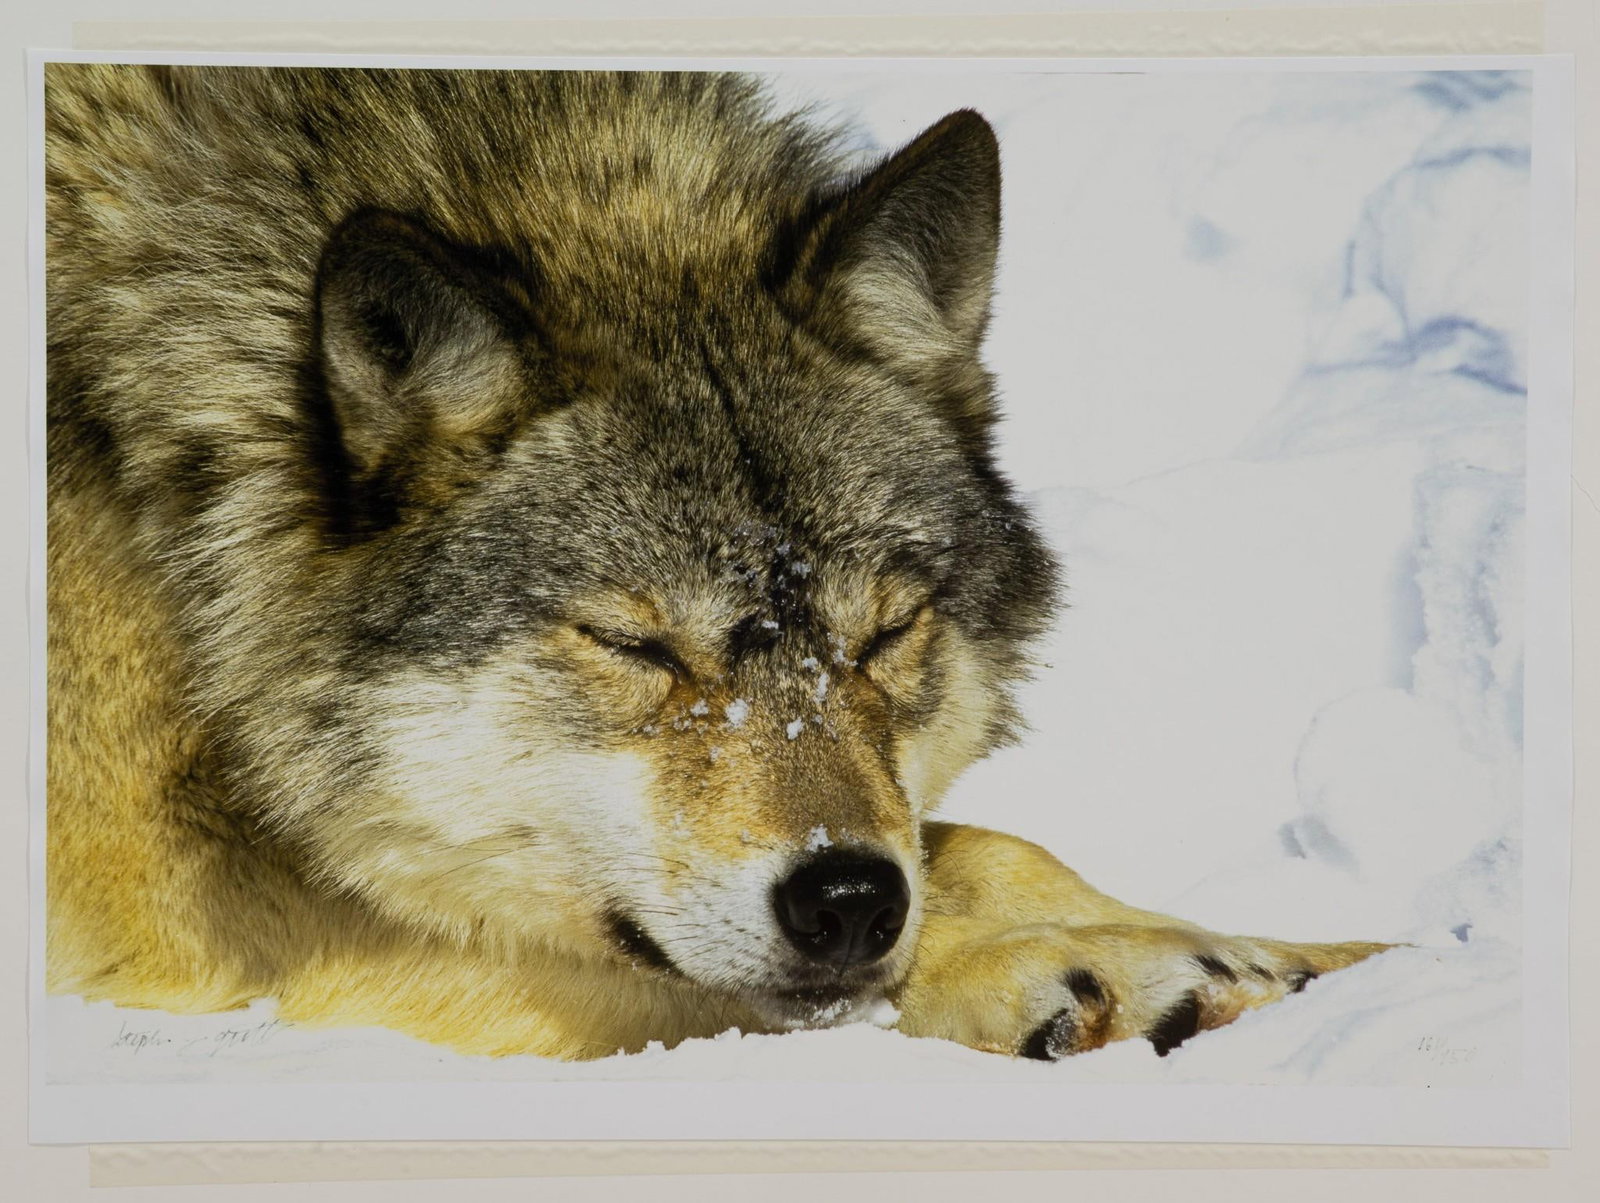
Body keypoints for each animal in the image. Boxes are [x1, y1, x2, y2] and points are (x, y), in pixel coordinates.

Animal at [45, 64, 1386, 1062]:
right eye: (635, 645)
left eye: (884, 634)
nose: (848, 901)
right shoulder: (204, 936)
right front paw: (1076, 965)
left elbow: (976, 842)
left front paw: (1339, 957)